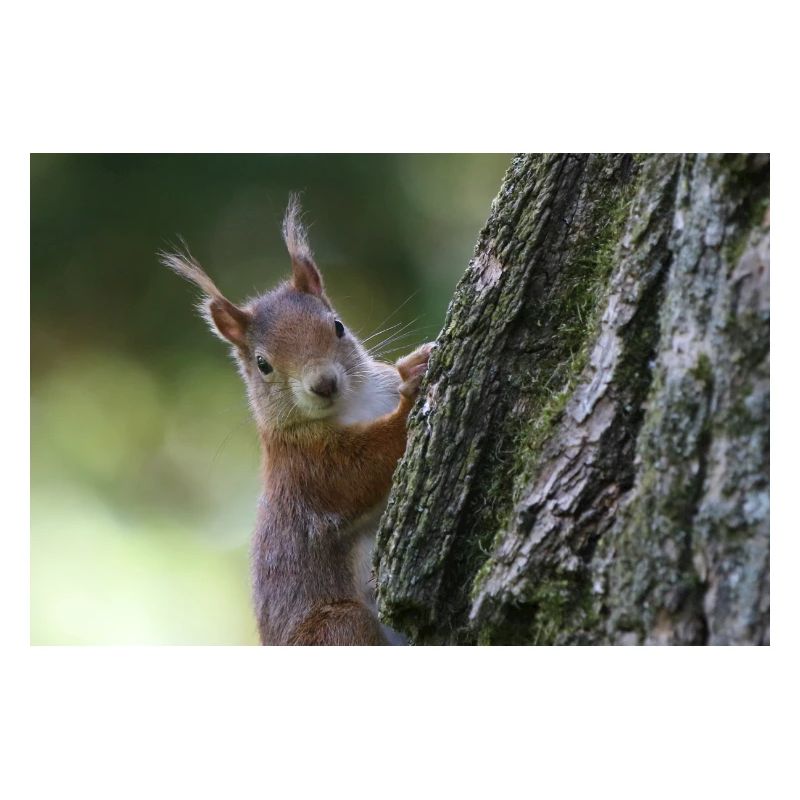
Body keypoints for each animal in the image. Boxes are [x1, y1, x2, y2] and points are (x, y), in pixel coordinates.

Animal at [162, 196, 433, 645]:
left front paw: (413, 362)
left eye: (338, 326)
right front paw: (413, 386)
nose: (323, 384)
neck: (355, 403)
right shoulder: (306, 467)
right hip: (337, 627)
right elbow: (360, 471)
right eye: (263, 364)